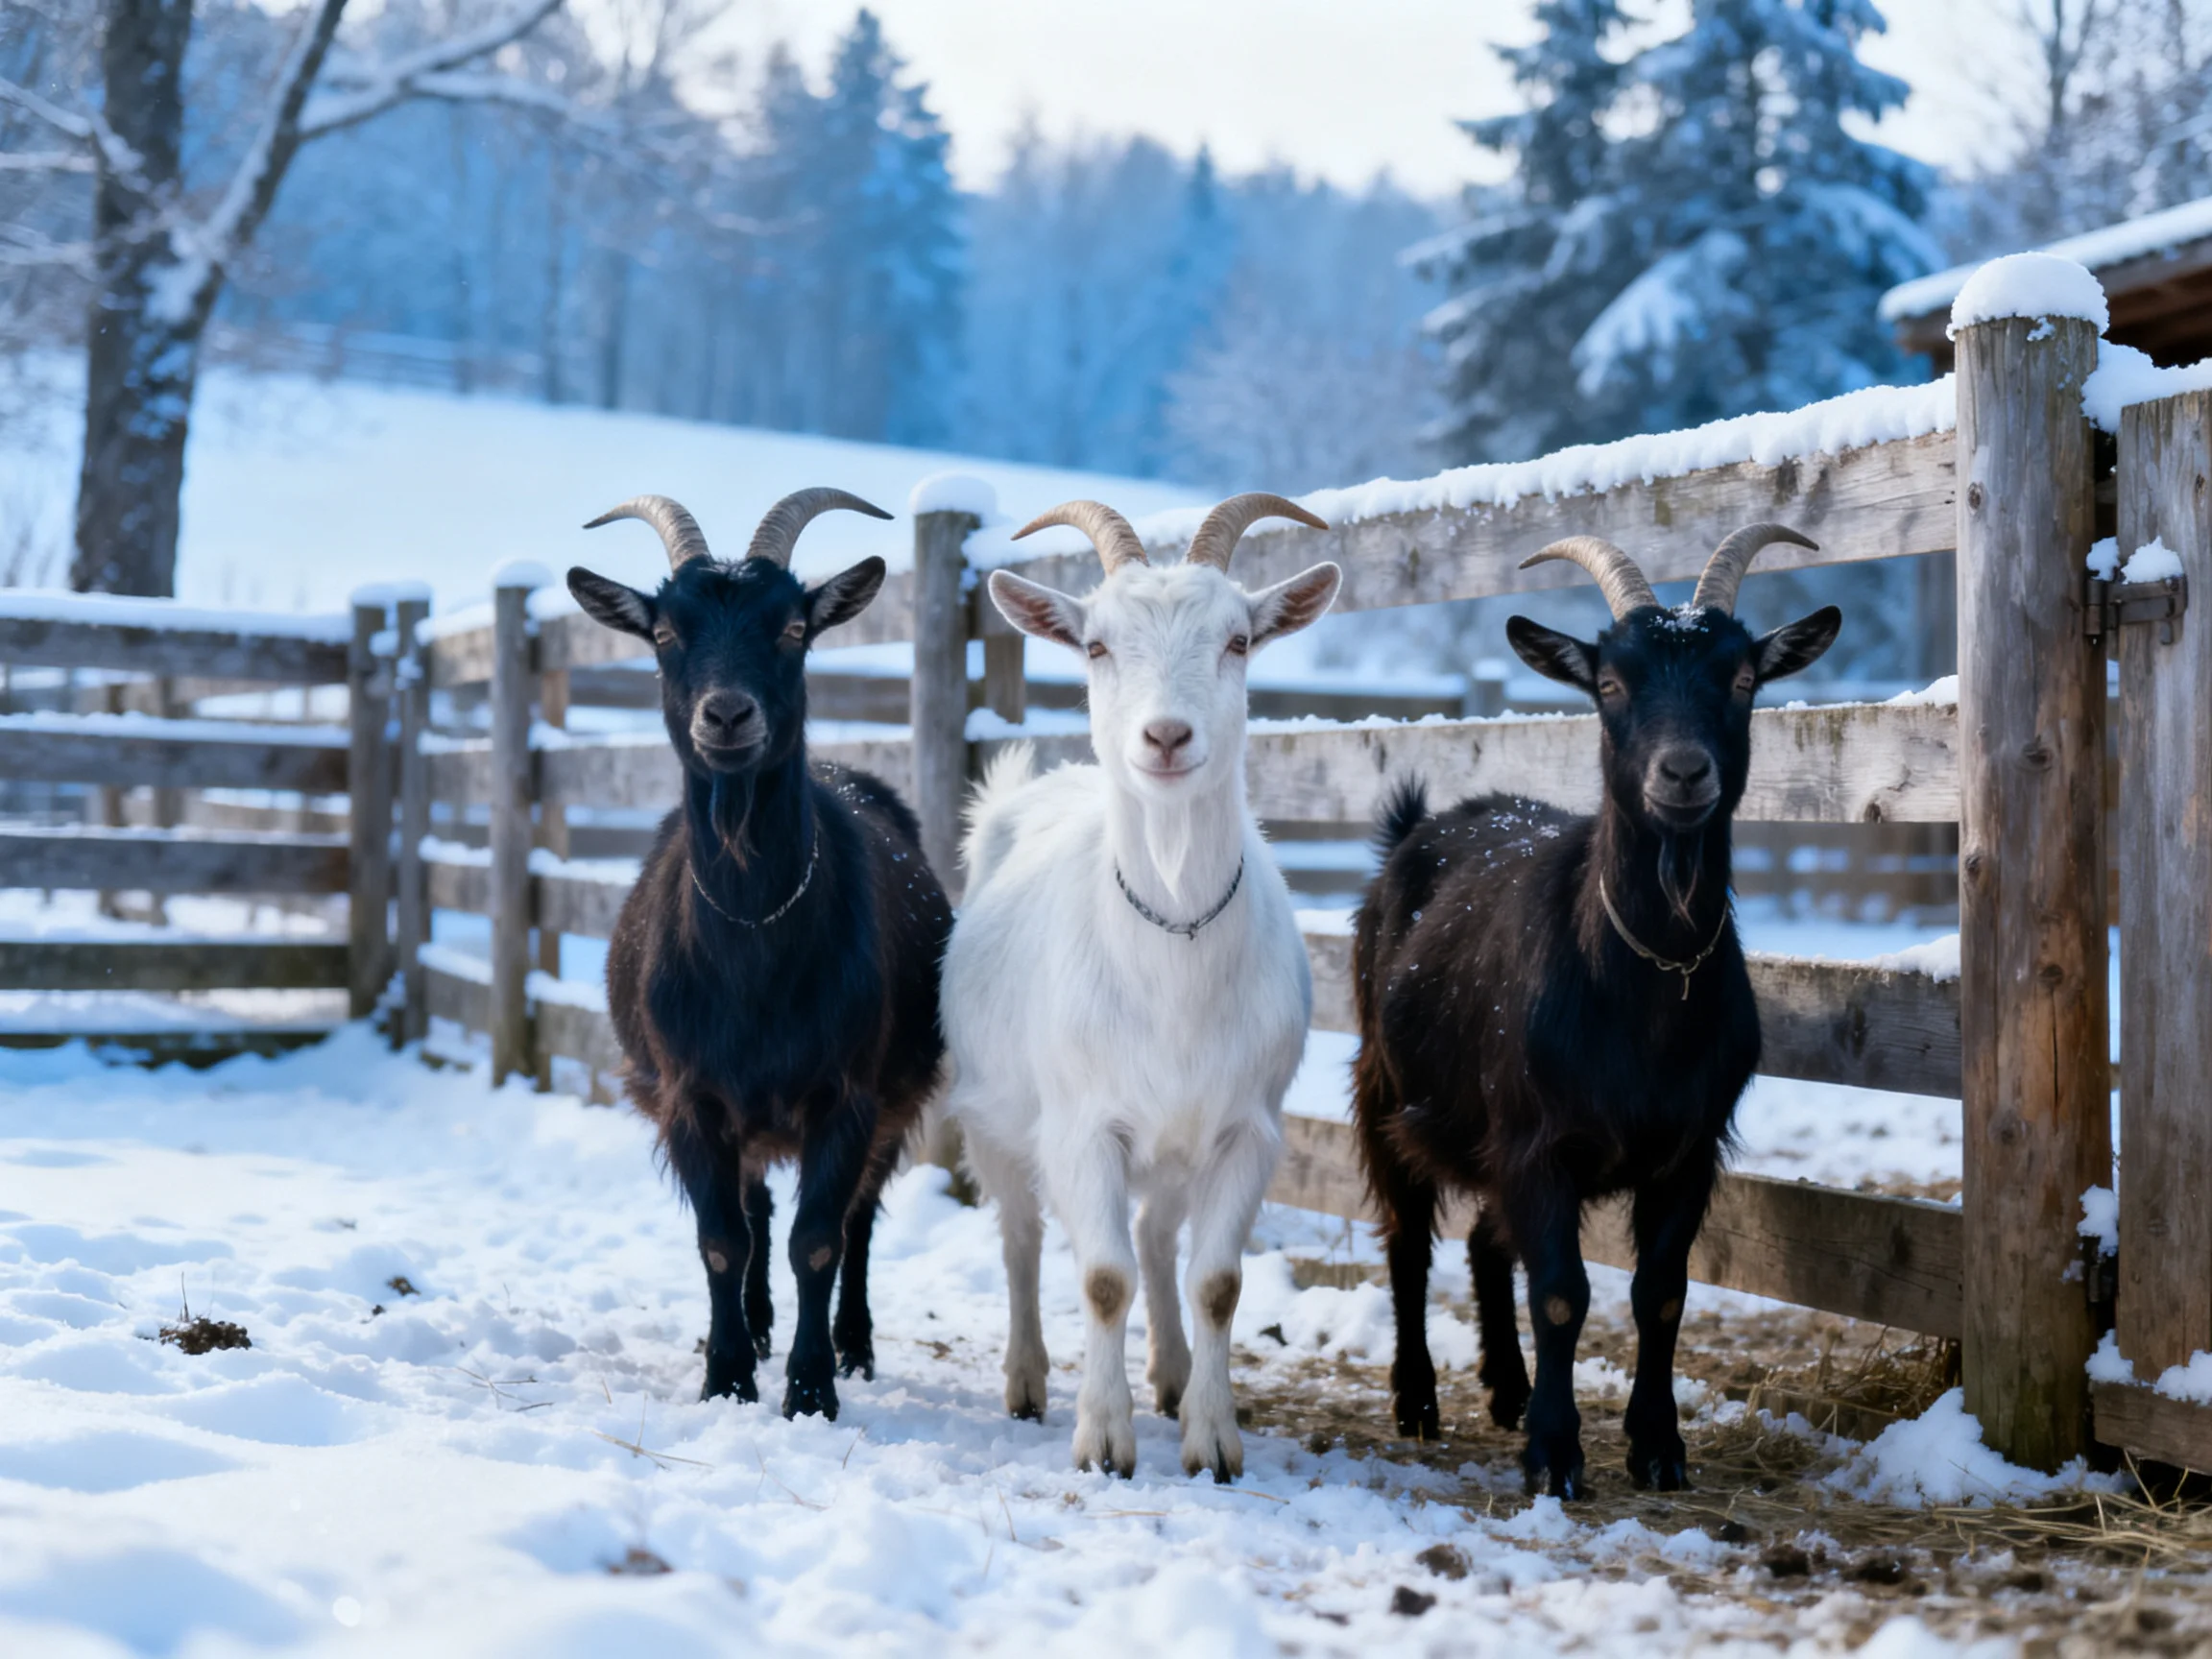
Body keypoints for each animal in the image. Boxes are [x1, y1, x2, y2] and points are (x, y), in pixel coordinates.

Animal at [566, 489, 953, 1420]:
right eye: (665, 631)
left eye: (793, 626)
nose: (728, 715)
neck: (751, 942)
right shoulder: (691, 1095)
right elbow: (721, 1239)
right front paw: (729, 1375)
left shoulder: (846, 1094)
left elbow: (820, 1239)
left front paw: (811, 1390)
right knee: (755, 1210)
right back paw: (755, 1326)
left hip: (890, 1097)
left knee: (857, 1218)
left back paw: (853, 1345)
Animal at [943, 495, 1343, 1481]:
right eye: (1095, 644)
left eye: (1239, 639)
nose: (1164, 737)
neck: (1173, 958)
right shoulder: (1083, 1128)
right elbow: (1100, 1277)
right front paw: (1102, 1440)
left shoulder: (1246, 1131)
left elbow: (1217, 1282)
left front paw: (1213, 1440)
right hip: (994, 1121)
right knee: (1021, 1241)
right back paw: (1027, 1381)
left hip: (1173, 1142)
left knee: (1162, 1241)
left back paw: (1168, 1372)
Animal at [1351, 527, 1839, 1497]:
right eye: (1610, 684)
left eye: (1743, 677)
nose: (1683, 771)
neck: (1644, 985)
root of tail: (1422, 825)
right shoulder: (1537, 1139)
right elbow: (1561, 1293)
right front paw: (1555, 1456)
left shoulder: (1689, 1149)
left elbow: (1661, 1294)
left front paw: (1657, 1446)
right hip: (1385, 1088)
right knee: (1409, 1243)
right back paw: (1418, 1400)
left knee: (1485, 1244)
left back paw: (1505, 1387)